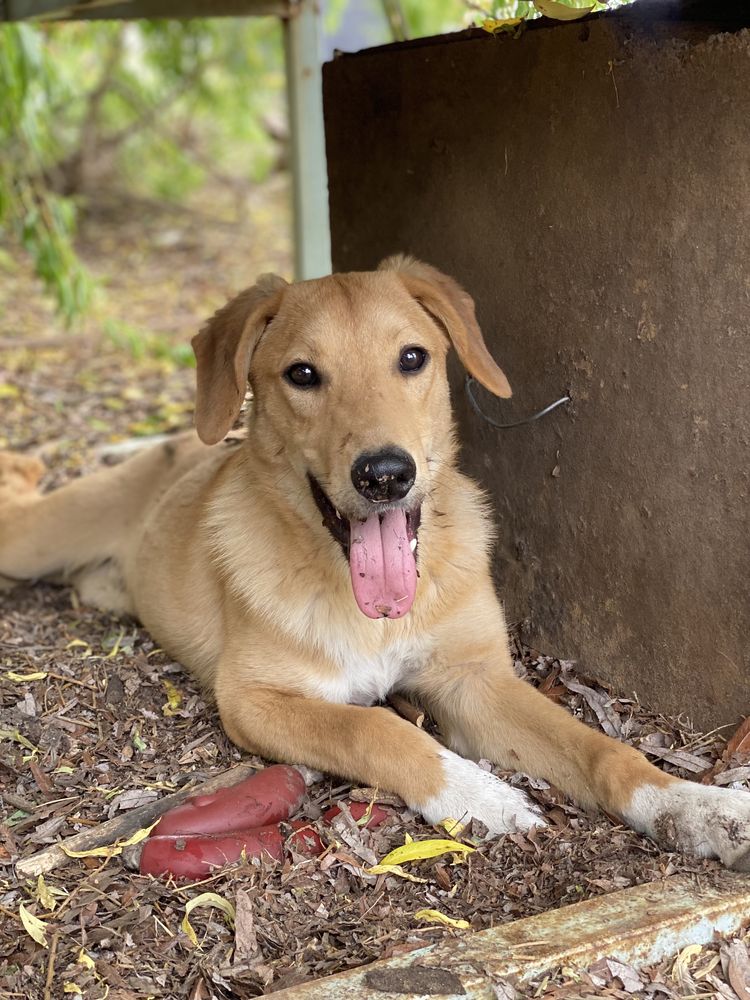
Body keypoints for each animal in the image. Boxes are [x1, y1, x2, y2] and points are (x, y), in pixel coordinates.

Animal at [1, 256, 750, 868]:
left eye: (412, 358)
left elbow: (600, 748)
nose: (385, 475)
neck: (374, 613)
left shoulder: (475, 680)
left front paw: (694, 806)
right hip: (31, 538)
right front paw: (481, 794)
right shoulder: (255, 700)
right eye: (303, 374)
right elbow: (376, 726)